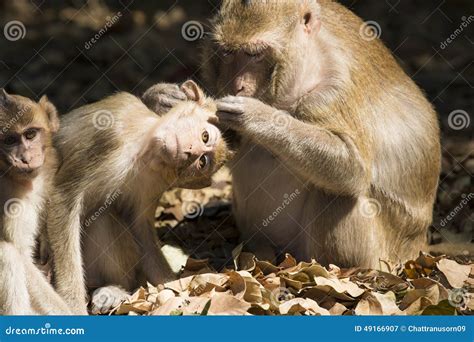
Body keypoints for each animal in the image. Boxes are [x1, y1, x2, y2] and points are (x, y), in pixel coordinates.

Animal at [0, 89, 71, 316]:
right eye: (9, 140)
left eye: (30, 134)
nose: (25, 158)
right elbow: (22, 256)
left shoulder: (52, 163)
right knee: (6, 254)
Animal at [47, 81, 231, 316]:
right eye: (205, 137)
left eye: (201, 162)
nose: (191, 152)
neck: (141, 149)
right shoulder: (109, 135)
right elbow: (63, 201)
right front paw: (72, 305)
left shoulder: (154, 181)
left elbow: (139, 227)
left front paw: (173, 287)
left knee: (102, 219)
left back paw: (113, 289)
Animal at [157, 0, 442, 268]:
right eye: (227, 51)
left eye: (254, 54)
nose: (236, 85)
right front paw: (163, 98)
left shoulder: (332, 92)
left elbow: (354, 167)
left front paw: (256, 116)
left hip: (379, 256)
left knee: (339, 195)